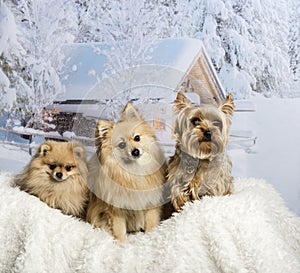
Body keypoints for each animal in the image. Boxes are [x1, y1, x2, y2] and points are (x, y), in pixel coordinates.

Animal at [86, 103, 166, 241]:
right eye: (122, 145)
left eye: (137, 138)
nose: (135, 151)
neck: (134, 172)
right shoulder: (116, 208)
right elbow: (119, 229)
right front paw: (121, 243)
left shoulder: (151, 202)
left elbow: (151, 223)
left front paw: (149, 237)